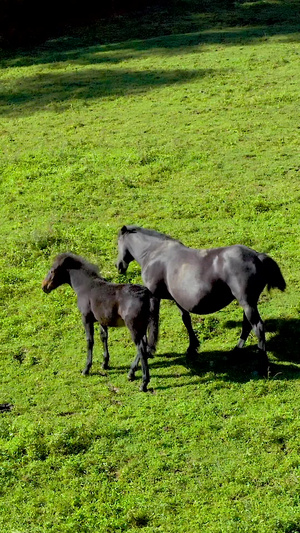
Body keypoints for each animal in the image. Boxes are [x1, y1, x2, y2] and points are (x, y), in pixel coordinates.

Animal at [43, 251, 158, 388]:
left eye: (52, 270)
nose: (44, 286)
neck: (86, 286)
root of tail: (147, 294)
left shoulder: (86, 319)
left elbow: (90, 341)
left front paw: (86, 369)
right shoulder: (102, 320)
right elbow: (103, 337)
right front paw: (105, 363)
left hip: (133, 326)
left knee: (141, 347)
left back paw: (143, 383)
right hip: (142, 325)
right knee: (144, 345)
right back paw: (131, 373)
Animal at [116, 224, 286, 370]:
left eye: (118, 243)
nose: (118, 266)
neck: (154, 253)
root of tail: (257, 256)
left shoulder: (155, 296)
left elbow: (154, 324)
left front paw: (147, 353)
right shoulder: (178, 299)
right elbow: (186, 320)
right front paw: (192, 348)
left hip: (247, 303)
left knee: (258, 327)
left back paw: (262, 364)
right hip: (249, 303)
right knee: (247, 326)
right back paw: (235, 353)